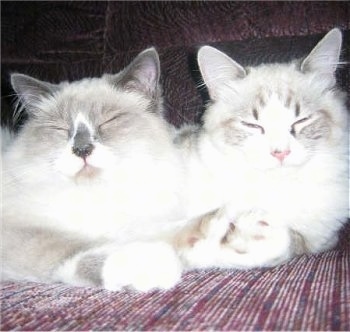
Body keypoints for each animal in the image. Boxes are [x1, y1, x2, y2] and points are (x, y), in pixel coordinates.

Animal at [1, 48, 187, 292]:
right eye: (61, 129)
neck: (97, 195)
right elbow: (69, 246)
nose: (82, 149)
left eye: (109, 120)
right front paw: (152, 262)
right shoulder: (19, 229)